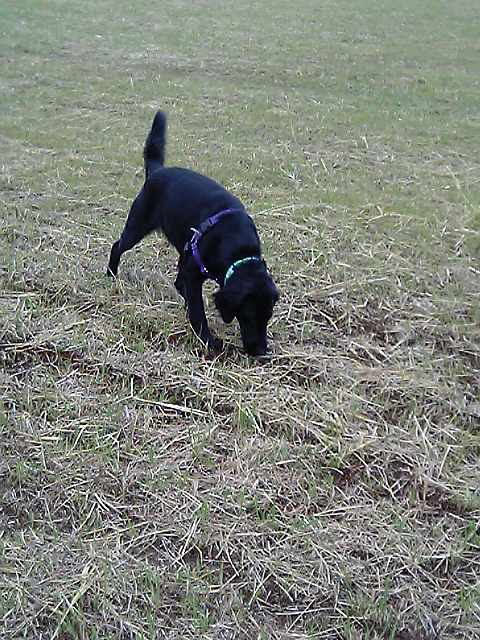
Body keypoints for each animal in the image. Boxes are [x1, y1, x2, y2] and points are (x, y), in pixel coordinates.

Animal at [107, 111, 278, 356]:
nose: (261, 352)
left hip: (184, 246)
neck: (237, 247)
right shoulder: (193, 272)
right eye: (248, 315)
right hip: (137, 226)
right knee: (117, 246)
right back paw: (111, 273)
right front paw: (208, 340)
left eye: (268, 316)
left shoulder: (192, 263)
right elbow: (198, 312)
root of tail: (157, 171)